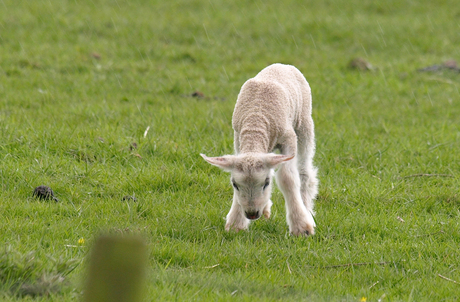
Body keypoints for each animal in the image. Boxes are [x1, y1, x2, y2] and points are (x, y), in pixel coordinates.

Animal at [201, 63, 320, 236]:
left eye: (266, 183)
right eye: (235, 185)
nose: (251, 214)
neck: (255, 120)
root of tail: (282, 65)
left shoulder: (288, 138)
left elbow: (287, 178)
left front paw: (301, 227)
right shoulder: (238, 138)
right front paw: (236, 223)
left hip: (304, 123)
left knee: (304, 172)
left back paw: (307, 208)